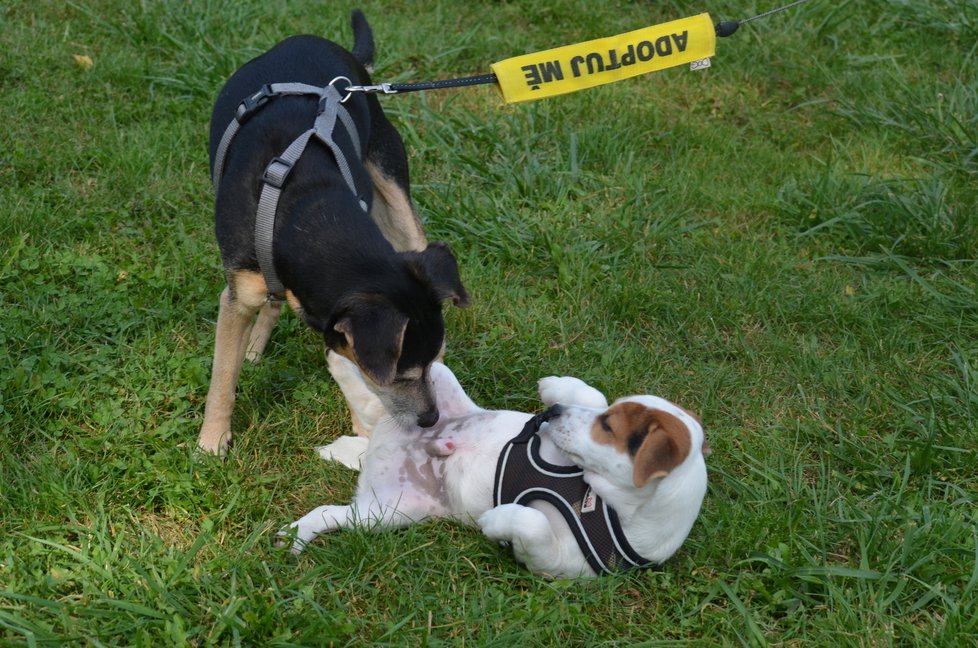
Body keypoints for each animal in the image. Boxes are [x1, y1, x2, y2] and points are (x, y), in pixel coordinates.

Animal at [197, 11, 466, 456]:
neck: (303, 208)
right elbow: (222, 378)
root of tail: (323, 43)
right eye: (401, 375)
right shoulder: (237, 295)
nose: (432, 419)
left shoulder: (335, 323)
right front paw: (212, 442)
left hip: (392, 179)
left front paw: (362, 434)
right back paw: (253, 348)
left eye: (430, 363)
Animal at [284, 352, 708, 580]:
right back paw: (342, 360)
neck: (598, 497)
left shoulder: (553, 564)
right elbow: (593, 394)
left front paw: (498, 520)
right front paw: (556, 385)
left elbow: (534, 526)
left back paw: (295, 534)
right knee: (381, 391)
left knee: (328, 512)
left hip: (383, 513)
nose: (551, 412)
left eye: (608, 428)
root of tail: (383, 448)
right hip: (434, 379)